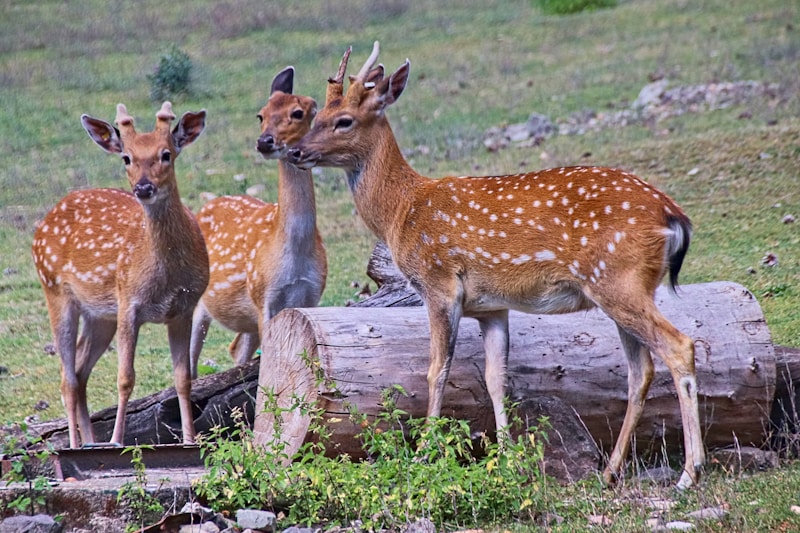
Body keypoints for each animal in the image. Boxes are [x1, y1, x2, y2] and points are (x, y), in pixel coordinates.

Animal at [32, 102, 208, 446]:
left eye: (166, 154)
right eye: (126, 157)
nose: (143, 187)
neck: (166, 275)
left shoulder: (184, 307)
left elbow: (183, 378)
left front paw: (190, 439)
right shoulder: (129, 302)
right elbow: (125, 378)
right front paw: (116, 440)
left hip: (100, 315)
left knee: (80, 372)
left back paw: (90, 442)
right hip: (54, 290)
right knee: (67, 379)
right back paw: (76, 445)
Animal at [189, 65, 326, 374]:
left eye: (298, 112)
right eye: (261, 115)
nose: (264, 141)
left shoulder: (312, 296)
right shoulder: (263, 295)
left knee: (236, 348)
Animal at [290, 43, 704, 488]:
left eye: (344, 120)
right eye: (317, 114)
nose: (295, 151)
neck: (402, 211)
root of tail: (673, 215)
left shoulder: (439, 282)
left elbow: (436, 370)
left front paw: (424, 455)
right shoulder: (492, 307)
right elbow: (495, 379)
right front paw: (506, 458)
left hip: (617, 278)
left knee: (679, 347)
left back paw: (689, 473)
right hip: (623, 288)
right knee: (640, 370)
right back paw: (610, 471)